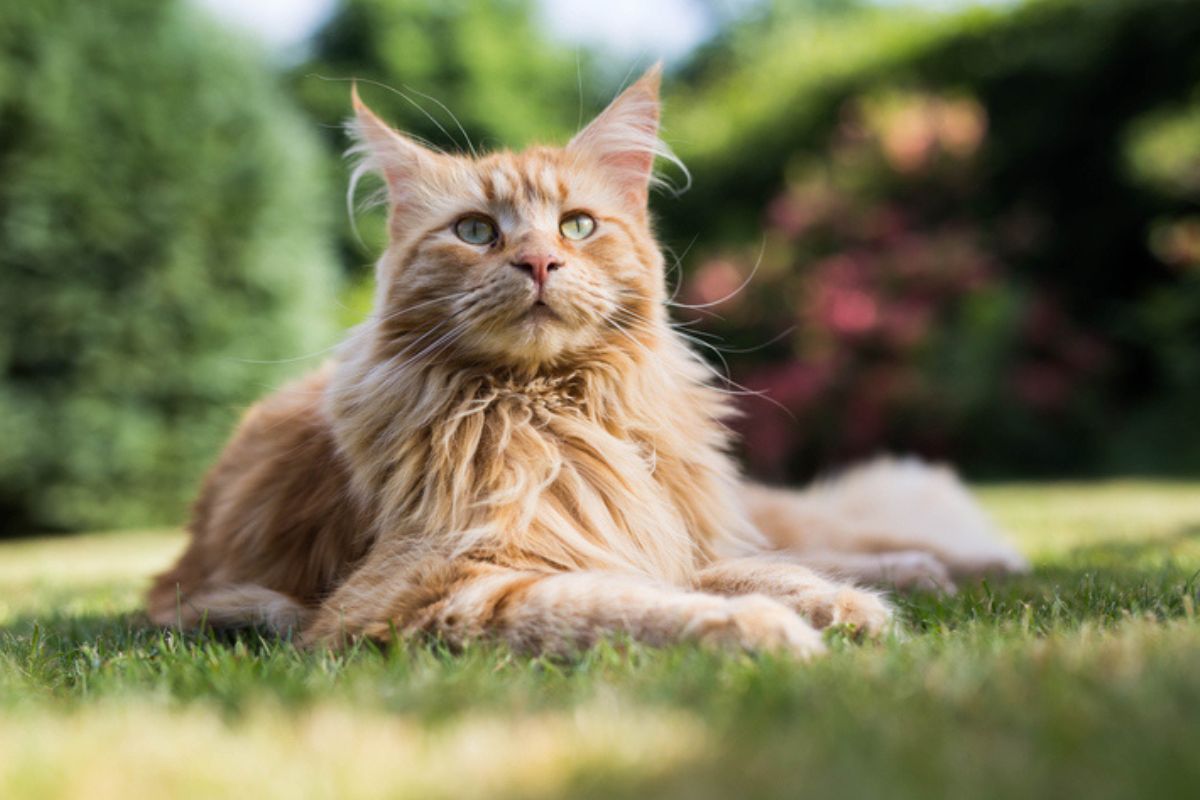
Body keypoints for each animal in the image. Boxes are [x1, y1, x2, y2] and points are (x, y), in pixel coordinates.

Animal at [145, 65, 1027, 662]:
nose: (539, 262)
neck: (555, 411)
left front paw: (842, 606)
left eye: (575, 225)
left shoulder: (648, 528)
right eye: (475, 232)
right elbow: (626, 605)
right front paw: (766, 628)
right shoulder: (420, 596)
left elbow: (734, 574)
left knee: (820, 536)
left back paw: (958, 565)